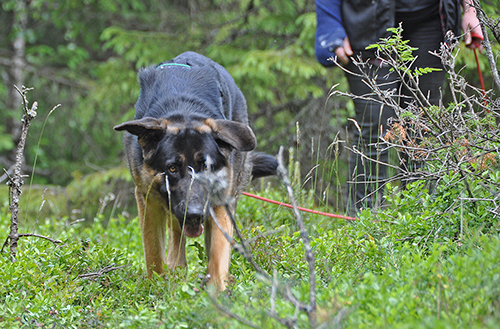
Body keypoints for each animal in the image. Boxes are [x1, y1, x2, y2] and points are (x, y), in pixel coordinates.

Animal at [114, 52, 278, 290]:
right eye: (172, 168)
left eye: (207, 168)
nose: (194, 213)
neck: (183, 110)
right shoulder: (148, 199)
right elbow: (153, 253)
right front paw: (156, 287)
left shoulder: (220, 202)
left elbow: (218, 253)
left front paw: (217, 290)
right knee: (176, 236)